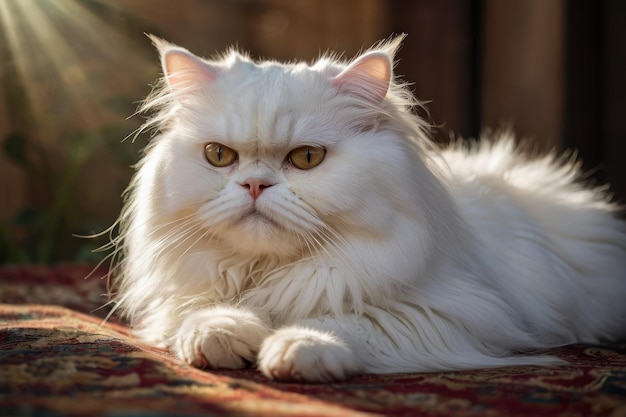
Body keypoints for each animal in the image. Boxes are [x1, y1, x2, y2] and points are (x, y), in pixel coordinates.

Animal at [109, 35, 624, 380]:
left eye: (307, 158)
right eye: (219, 156)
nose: (255, 184)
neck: (273, 275)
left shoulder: (450, 313)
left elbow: (342, 322)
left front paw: (295, 349)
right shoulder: (185, 298)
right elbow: (207, 312)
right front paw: (220, 337)